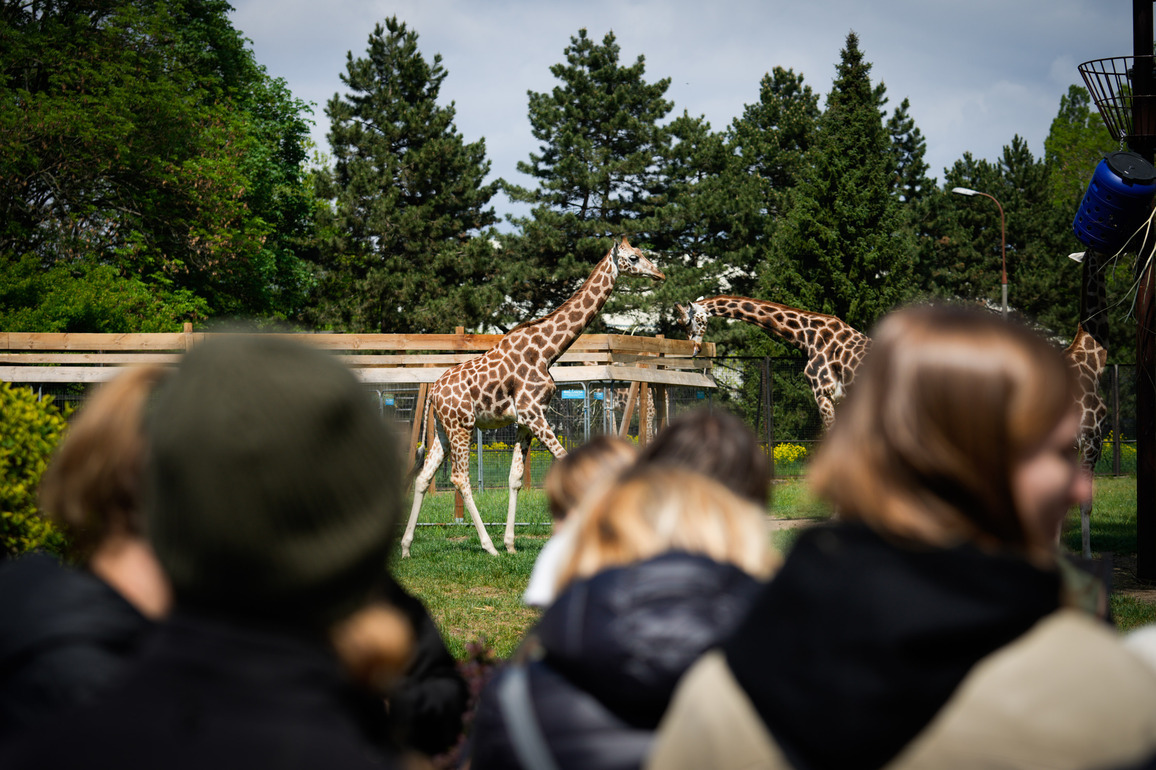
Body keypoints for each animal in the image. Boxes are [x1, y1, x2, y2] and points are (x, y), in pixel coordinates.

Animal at [401, 237, 665, 556]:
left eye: (640, 253)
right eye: (634, 257)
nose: (660, 274)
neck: (548, 351)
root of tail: (434, 393)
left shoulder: (527, 419)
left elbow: (515, 478)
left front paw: (511, 544)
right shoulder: (533, 414)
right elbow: (564, 459)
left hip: (443, 428)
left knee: (424, 477)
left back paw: (406, 548)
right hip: (462, 425)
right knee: (460, 477)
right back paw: (488, 547)